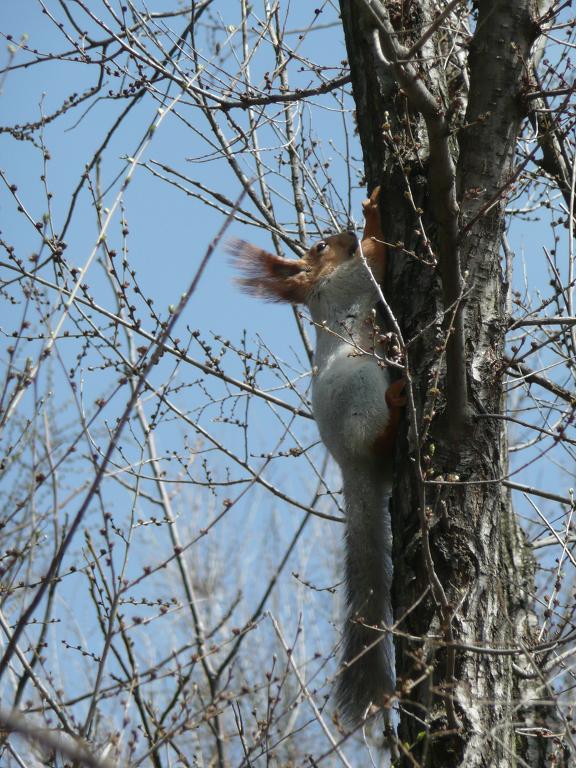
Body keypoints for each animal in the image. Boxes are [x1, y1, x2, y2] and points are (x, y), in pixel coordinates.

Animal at [230, 189, 404, 724]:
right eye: (322, 245)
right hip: (361, 389)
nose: (342, 232)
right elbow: (375, 256)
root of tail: (351, 467)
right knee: (379, 433)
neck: (319, 291)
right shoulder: (353, 279)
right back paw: (396, 405)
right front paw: (371, 217)